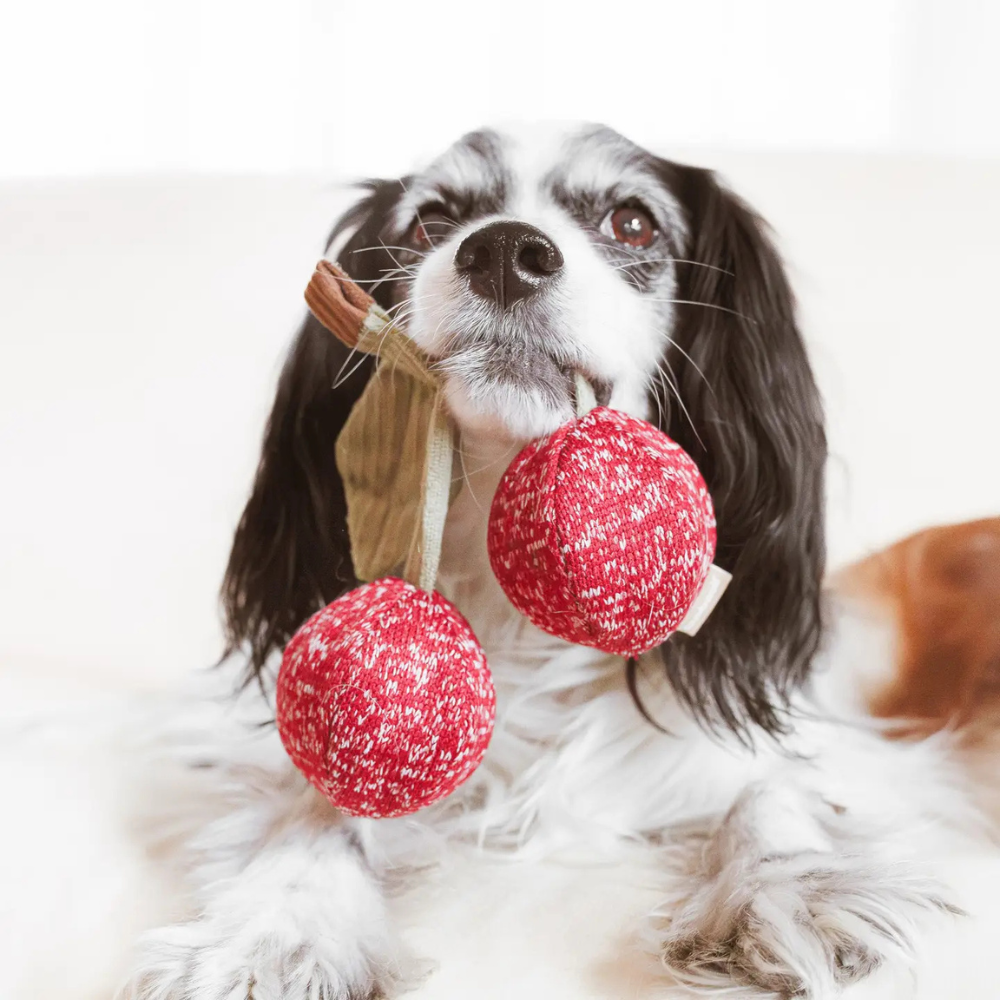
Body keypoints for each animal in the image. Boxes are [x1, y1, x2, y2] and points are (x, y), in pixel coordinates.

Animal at [119, 127, 984, 1000]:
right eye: (431, 219)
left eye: (632, 222)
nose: (505, 250)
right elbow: (317, 810)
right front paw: (278, 931)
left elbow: (773, 787)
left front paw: (792, 886)